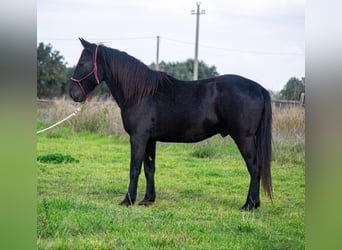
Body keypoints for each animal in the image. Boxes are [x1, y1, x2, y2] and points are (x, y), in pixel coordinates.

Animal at [69, 38, 272, 211]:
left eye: (82, 64)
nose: (73, 94)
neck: (141, 93)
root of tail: (258, 88)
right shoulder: (150, 140)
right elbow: (149, 169)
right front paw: (148, 199)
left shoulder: (138, 138)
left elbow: (134, 168)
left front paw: (128, 200)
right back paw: (255, 203)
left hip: (244, 138)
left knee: (254, 167)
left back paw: (249, 205)